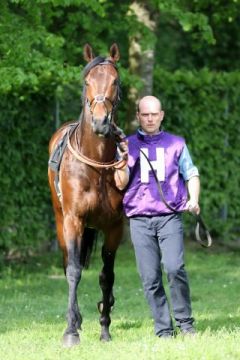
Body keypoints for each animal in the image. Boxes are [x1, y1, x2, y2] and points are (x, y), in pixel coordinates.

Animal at [47, 43, 126, 348]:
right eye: (87, 81)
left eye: (115, 81)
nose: (101, 122)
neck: (96, 166)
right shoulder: (73, 220)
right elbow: (73, 270)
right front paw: (71, 331)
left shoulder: (114, 227)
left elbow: (107, 276)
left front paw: (105, 328)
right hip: (60, 220)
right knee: (69, 262)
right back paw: (76, 320)